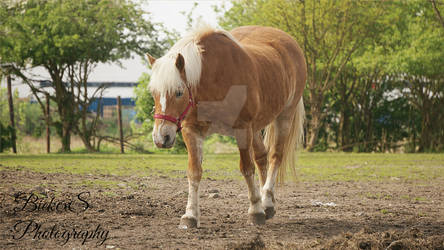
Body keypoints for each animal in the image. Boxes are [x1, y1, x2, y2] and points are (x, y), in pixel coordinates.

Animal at [146, 25, 306, 229]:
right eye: (153, 92)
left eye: (179, 92)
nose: (161, 137)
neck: (213, 78)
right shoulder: (192, 130)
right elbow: (194, 171)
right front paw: (190, 215)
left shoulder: (242, 129)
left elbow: (246, 168)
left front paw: (255, 211)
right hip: (255, 128)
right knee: (262, 157)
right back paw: (266, 204)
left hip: (284, 116)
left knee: (275, 156)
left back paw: (267, 201)